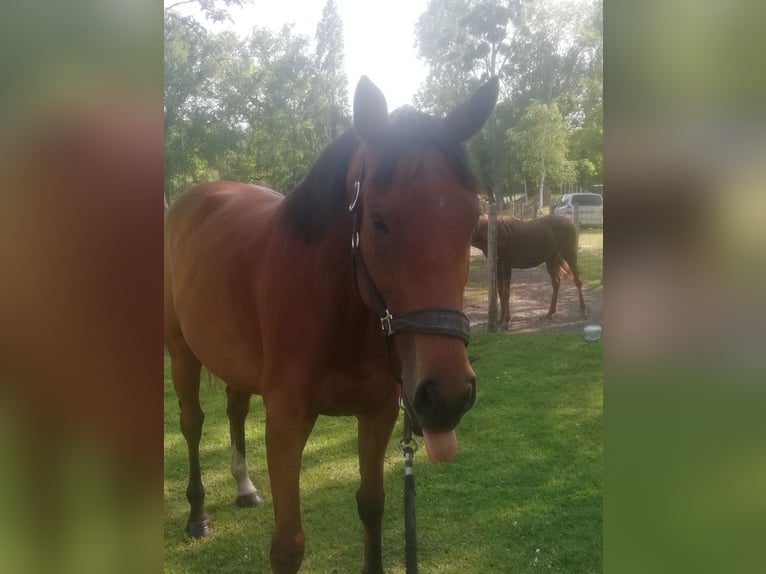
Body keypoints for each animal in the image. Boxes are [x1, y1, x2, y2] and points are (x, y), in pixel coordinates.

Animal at [165, 76, 500, 574]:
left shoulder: (378, 413)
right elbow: (288, 545)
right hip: (181, 352)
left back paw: (244, 487)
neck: (335, 312)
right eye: (378, 220)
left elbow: (372, 505)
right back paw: (197, 513)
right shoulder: (286, 422)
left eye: (471, 219)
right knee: (192, 423)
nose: (446, 395)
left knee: (235, 410)